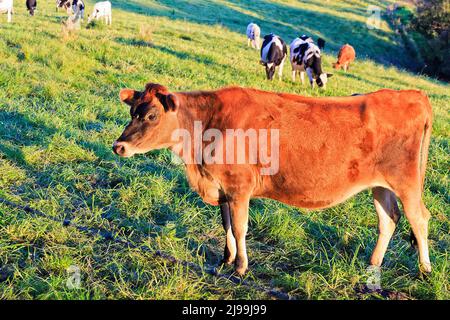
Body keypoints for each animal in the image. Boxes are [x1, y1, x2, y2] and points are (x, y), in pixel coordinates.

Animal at [114, 82, 434, 276]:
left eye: (152, 115)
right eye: (132, 111)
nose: (119, 146)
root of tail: (412, 94)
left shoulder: (239, 186)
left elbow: (240, 227)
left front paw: (241, 267)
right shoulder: (223, 188)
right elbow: (226, 225)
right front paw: (226, 259)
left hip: (406, 182)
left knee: (419, 218)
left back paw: (425, 269)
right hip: (380, 185)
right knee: (389, 219)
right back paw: (373, 265)